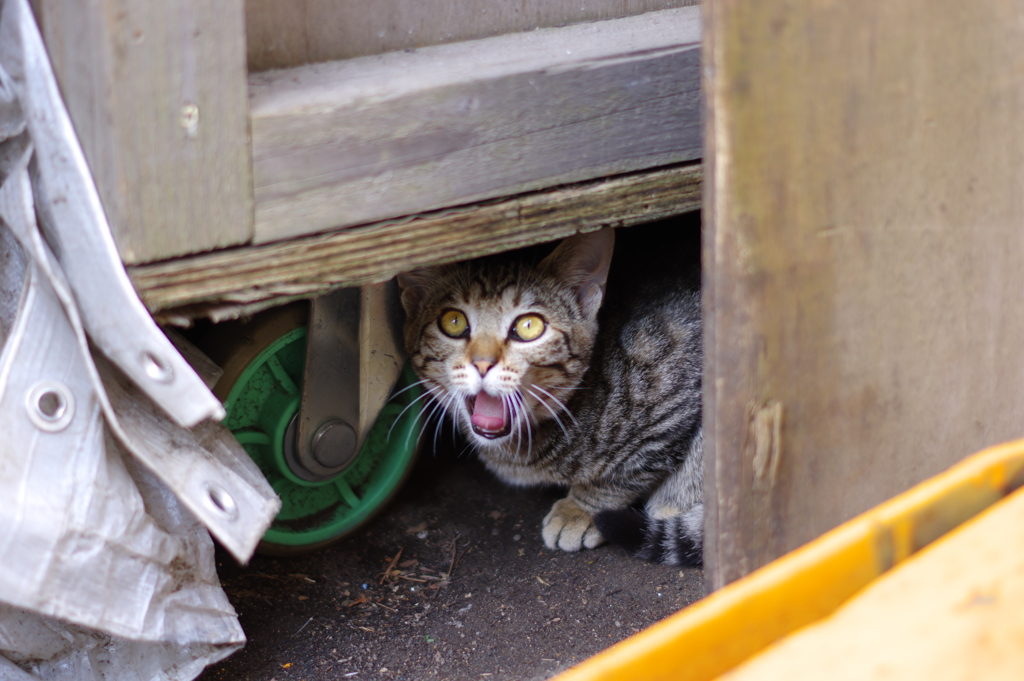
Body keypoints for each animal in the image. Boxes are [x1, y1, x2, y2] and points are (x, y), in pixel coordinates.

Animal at [393, 225, 704, 565]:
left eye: (529, 326)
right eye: (453, 322)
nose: (483, 363)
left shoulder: (669, 404)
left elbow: (625, 473)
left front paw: (581, 509)